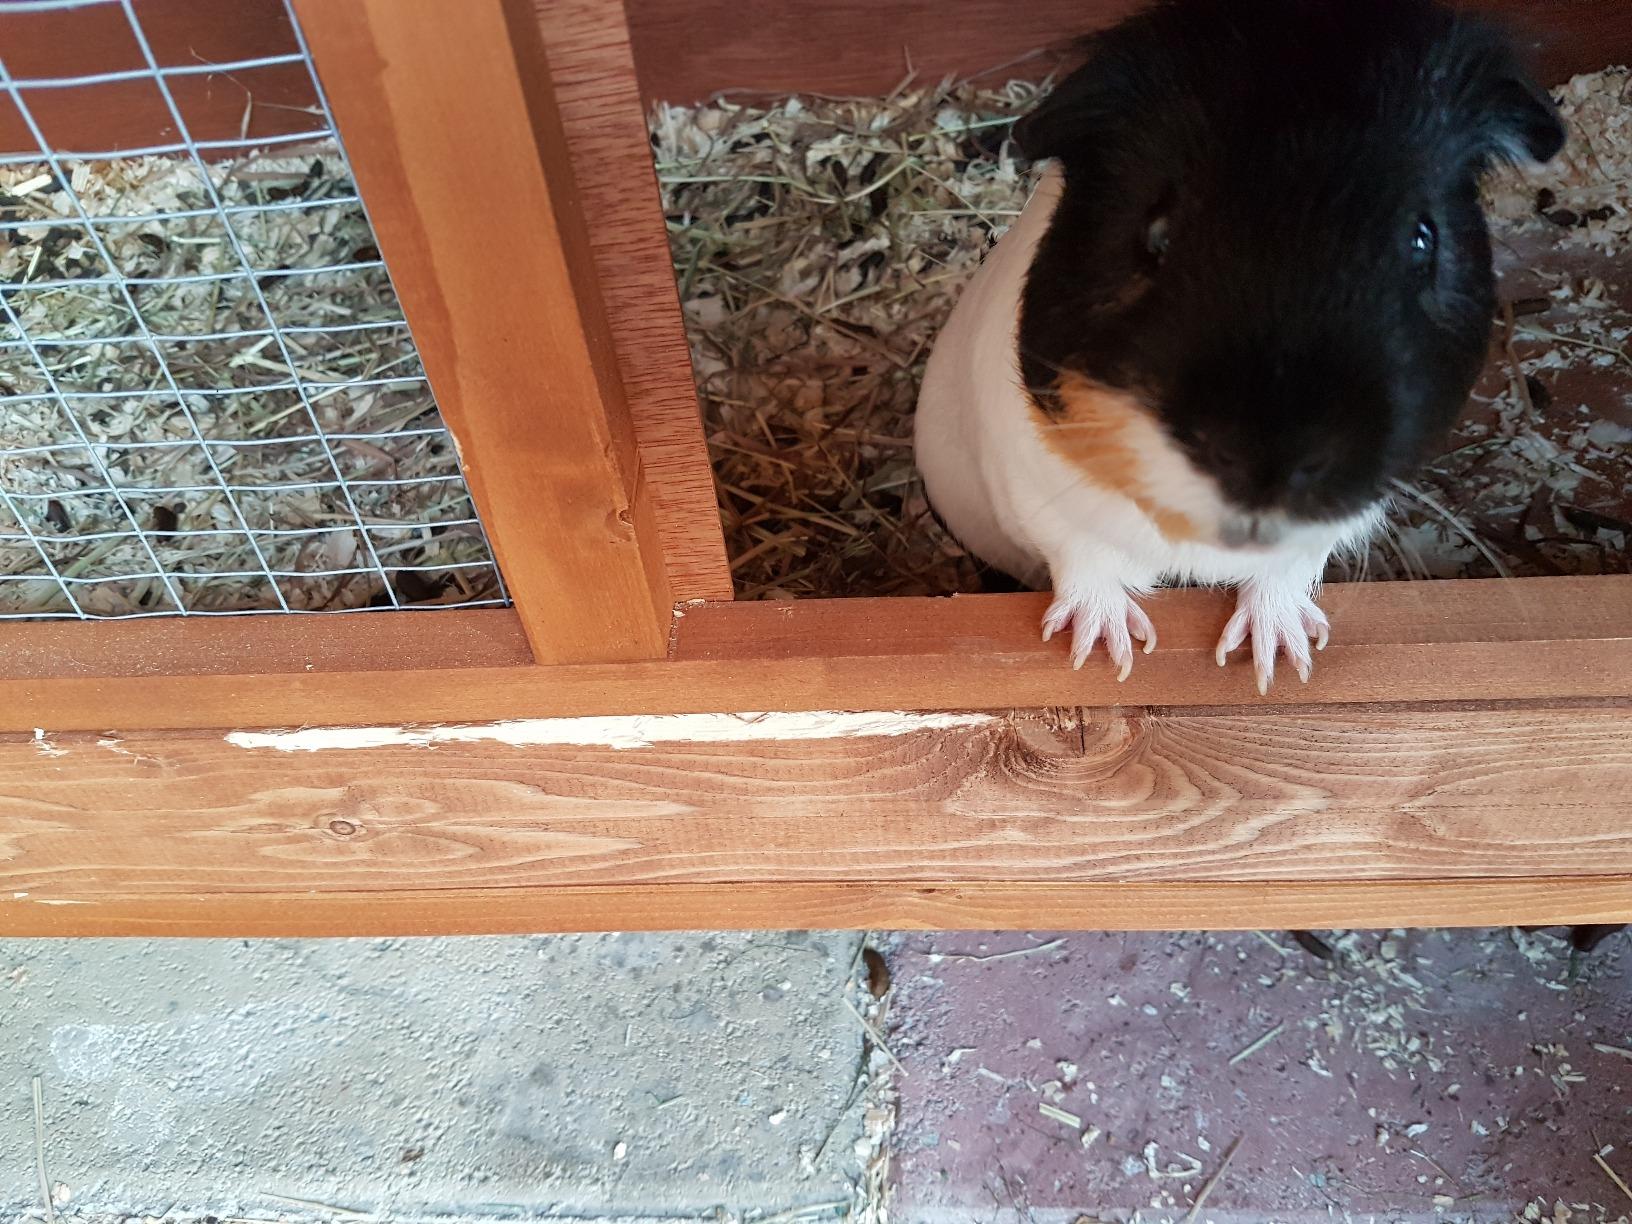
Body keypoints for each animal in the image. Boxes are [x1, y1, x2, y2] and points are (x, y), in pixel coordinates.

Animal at [914, 0, 1564, 692]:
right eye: (1156, 232)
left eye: (1423, 238)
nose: (1266, 465)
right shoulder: (1038, 491)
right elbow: (1086, 564)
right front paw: (1109, 655)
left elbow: (1283, 575)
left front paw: (1277, 663)